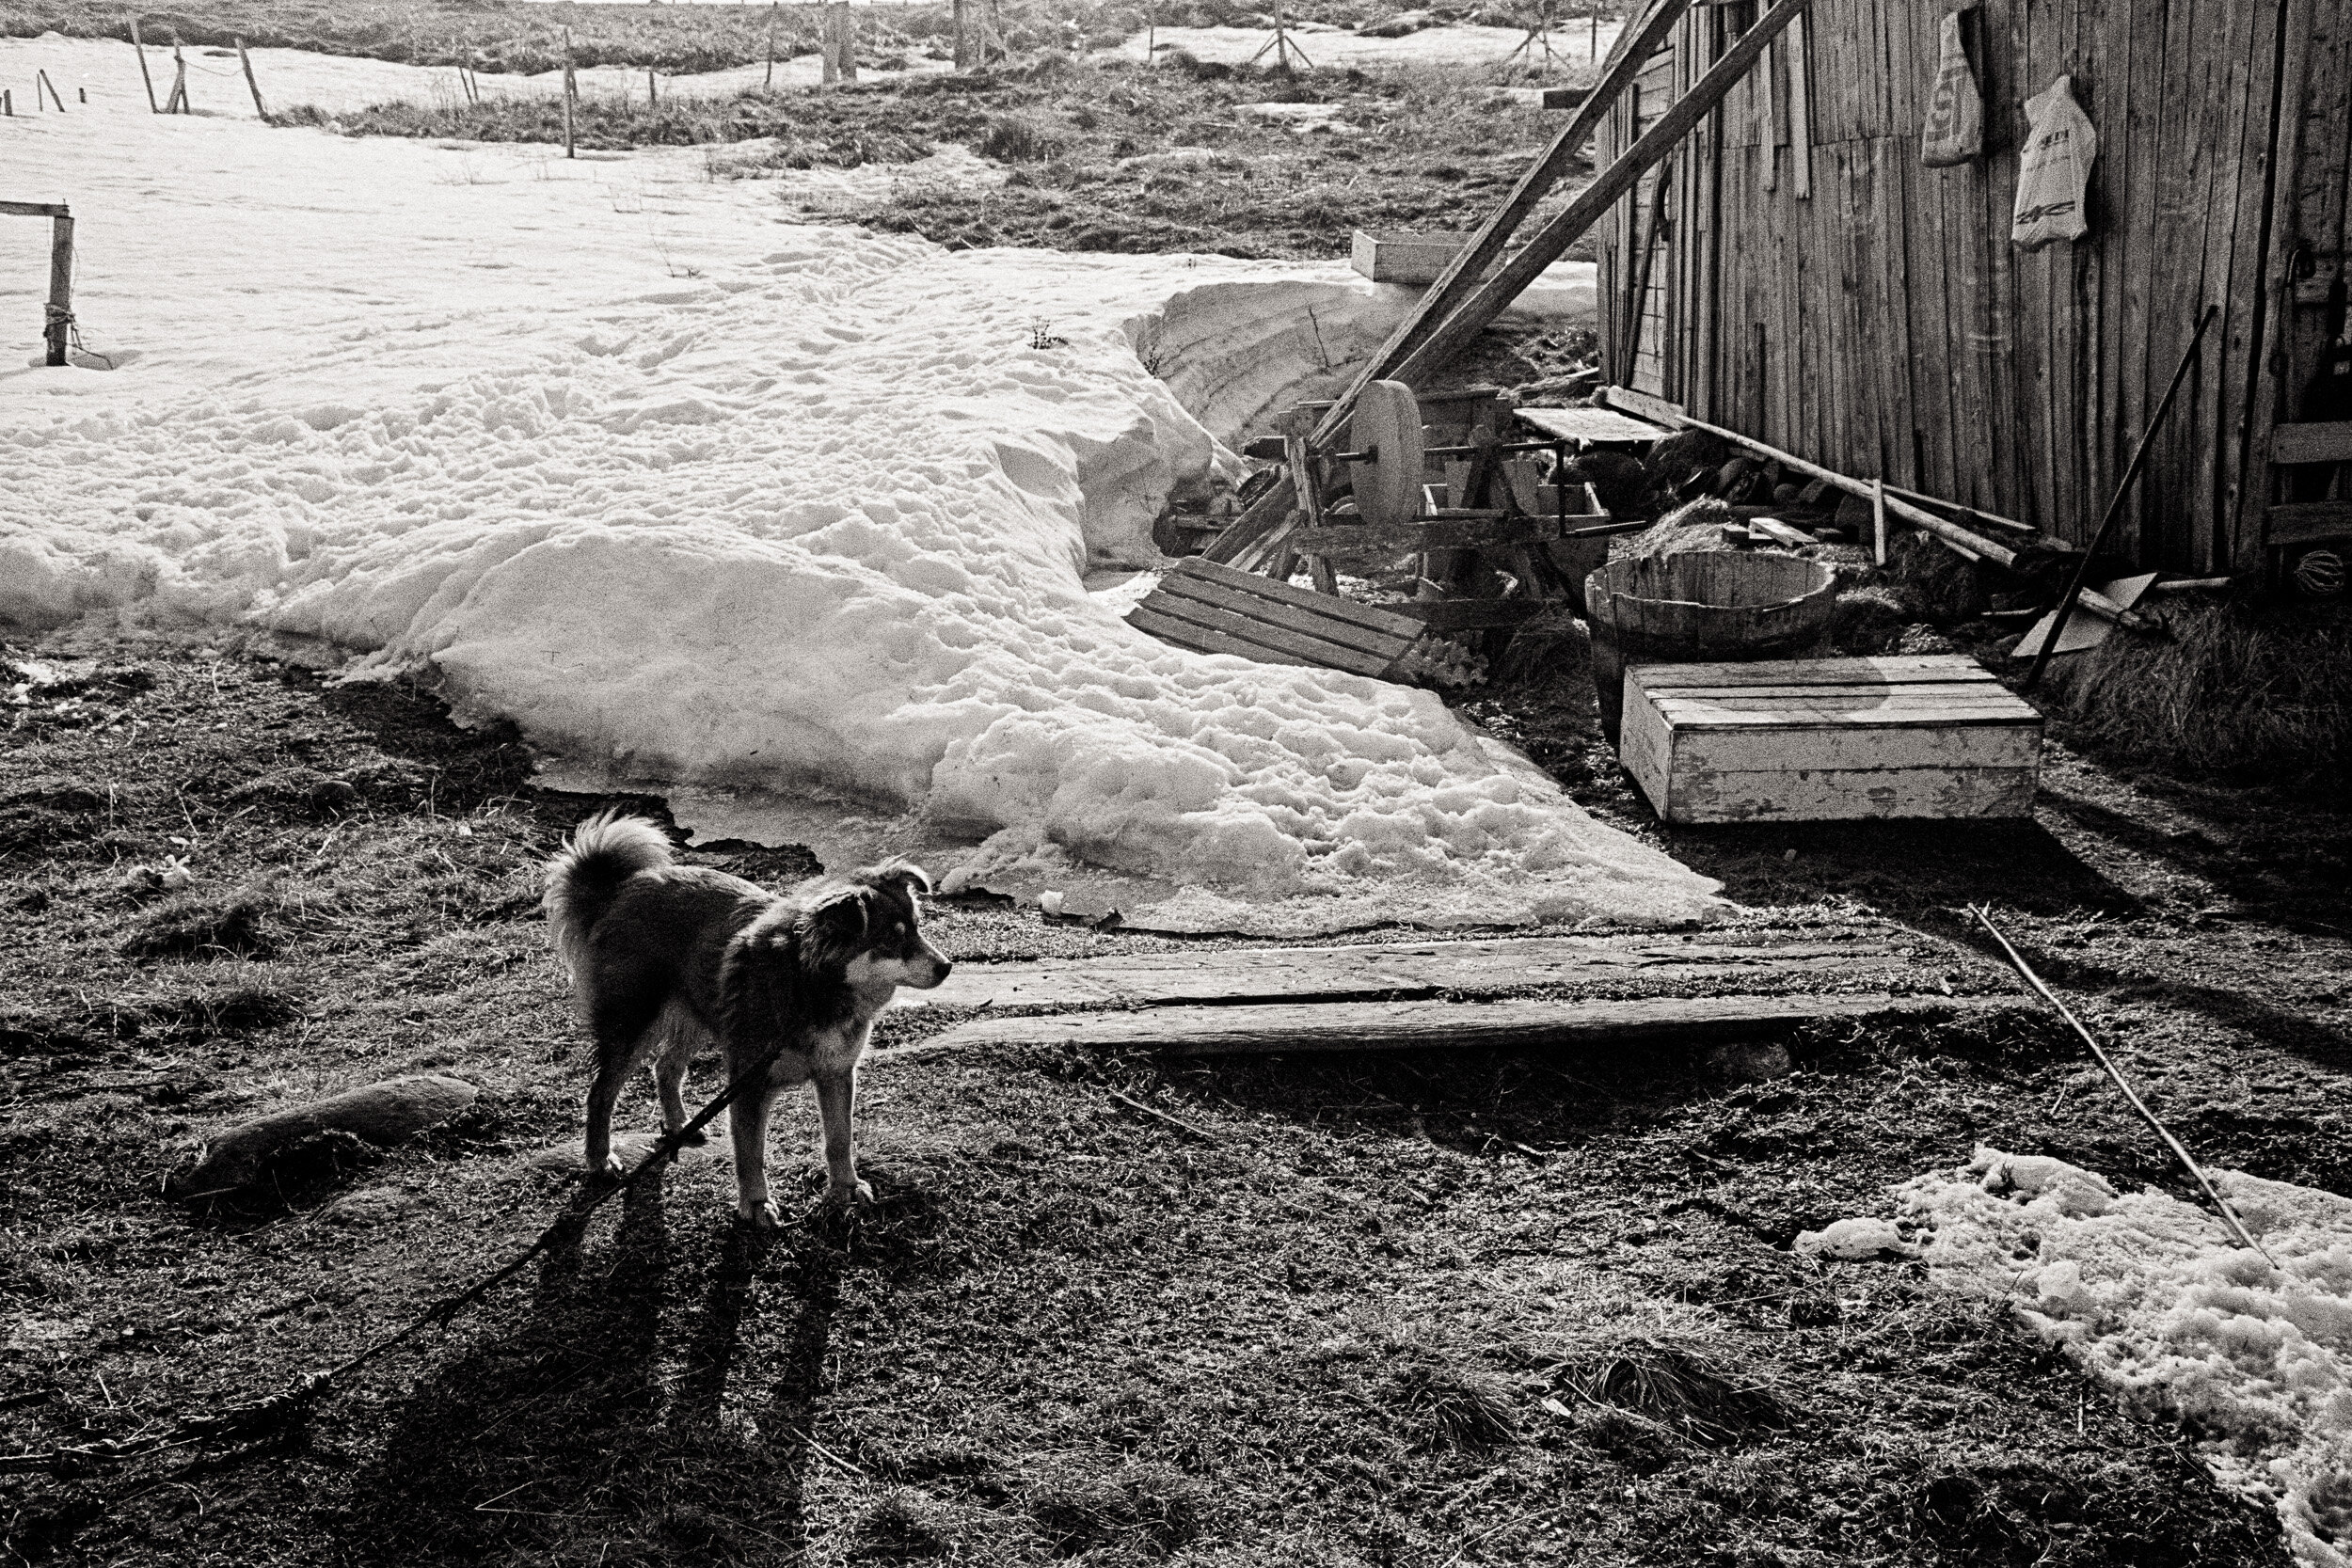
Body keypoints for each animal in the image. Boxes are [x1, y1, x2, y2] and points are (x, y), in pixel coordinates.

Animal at [546, 817, 950, 1231]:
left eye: (917, 928)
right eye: (891, 941)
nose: (946, 967)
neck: (809, 988)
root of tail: (623, 889)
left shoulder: (837, 1072)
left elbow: (839, 1138)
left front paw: (846, 1188)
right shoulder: (749, 1083)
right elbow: (751, 1151)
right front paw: (756, 1203)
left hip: (699, 1014)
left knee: (666, 1067)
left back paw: (679, 1125)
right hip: (633, 1026)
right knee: (601, 1093)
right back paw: (600, 1158)